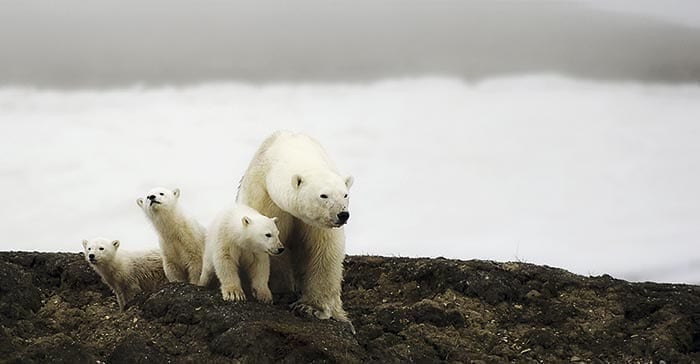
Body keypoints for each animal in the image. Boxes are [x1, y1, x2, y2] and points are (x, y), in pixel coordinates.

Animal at [237, 131, 356, 324]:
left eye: (345, 195)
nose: (342, 214)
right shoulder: (264, 196)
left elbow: (323, 252)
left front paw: (311, 308)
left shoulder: (317, 225)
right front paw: (279, 291)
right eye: (323, 195)